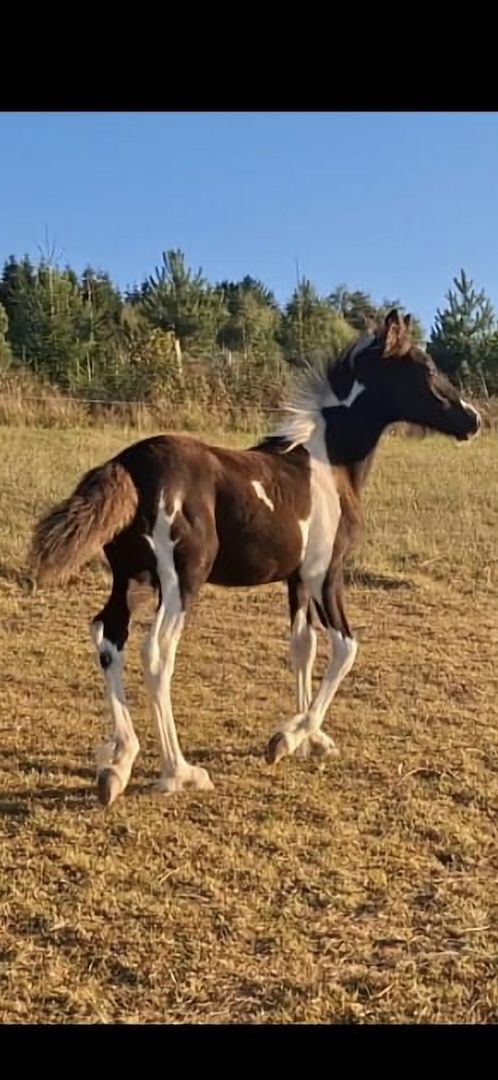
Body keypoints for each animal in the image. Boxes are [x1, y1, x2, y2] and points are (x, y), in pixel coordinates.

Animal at [30, 310, 481, 807]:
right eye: (425, 368)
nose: (473, 419)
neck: (328, 463)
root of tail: (130, 464)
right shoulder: (326, 574)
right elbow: (346, 647)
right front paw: (286, 739)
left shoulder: (297, 579)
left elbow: (303, 648)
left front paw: (312, 741)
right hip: (180, 581)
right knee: (157, 654)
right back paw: (179, 772)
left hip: (129, 578)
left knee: (108, 637)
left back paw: (117, 764)